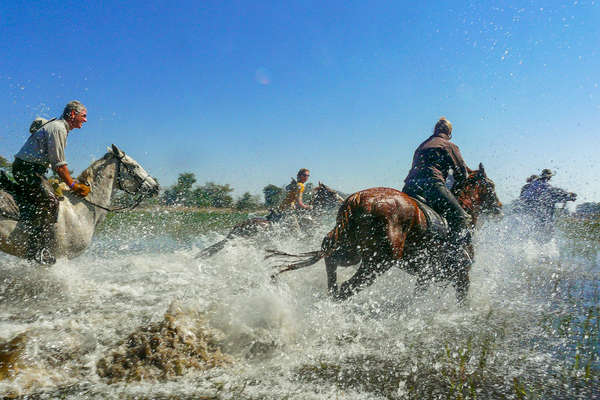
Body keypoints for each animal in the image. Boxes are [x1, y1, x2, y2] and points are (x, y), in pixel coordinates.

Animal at [268, 164, 502, 302]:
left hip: (350, 252)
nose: (499, 207)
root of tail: (357, 199)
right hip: (378, 262)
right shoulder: (461, 273)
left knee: (332, 266)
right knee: (346, 288)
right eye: (491, 185)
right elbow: (462, 300)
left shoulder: (427, 275)